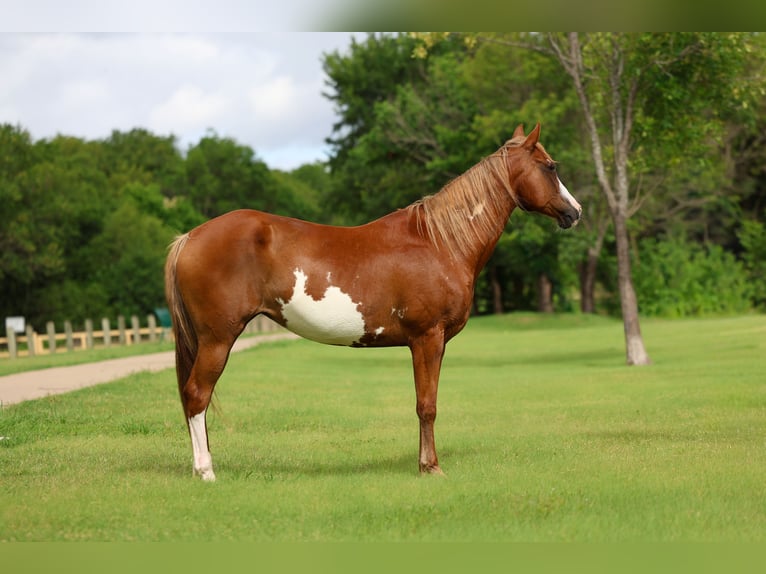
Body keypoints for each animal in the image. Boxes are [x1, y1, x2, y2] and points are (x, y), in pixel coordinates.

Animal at [165, 124, 581, 481]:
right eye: (550, 166)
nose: (574, 212)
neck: (439, 243)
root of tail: (190, 237)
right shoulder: (427, 338)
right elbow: (427, 405)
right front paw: (431, 467)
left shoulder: (428, 342)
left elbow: (424, 402)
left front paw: (424, 463)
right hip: (218, 339)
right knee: (197, 395)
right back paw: (206, 472)